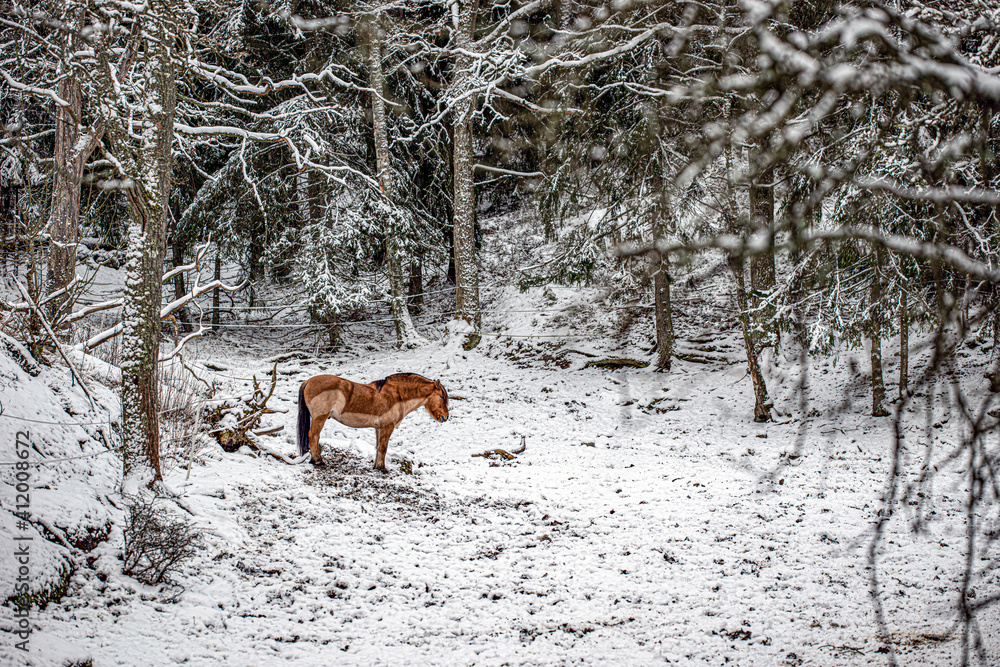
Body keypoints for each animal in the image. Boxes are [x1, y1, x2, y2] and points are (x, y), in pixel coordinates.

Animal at [297, 372, 449, 472]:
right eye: (442, 397)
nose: (446, 417)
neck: (398, 396)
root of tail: (308, 381)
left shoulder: (378, 428)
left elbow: (378, 447)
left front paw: (376, 466)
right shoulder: (387, 427)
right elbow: (383, 448)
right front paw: (382, 469)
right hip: (320, 418)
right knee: (313, 436)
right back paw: (318, 461)